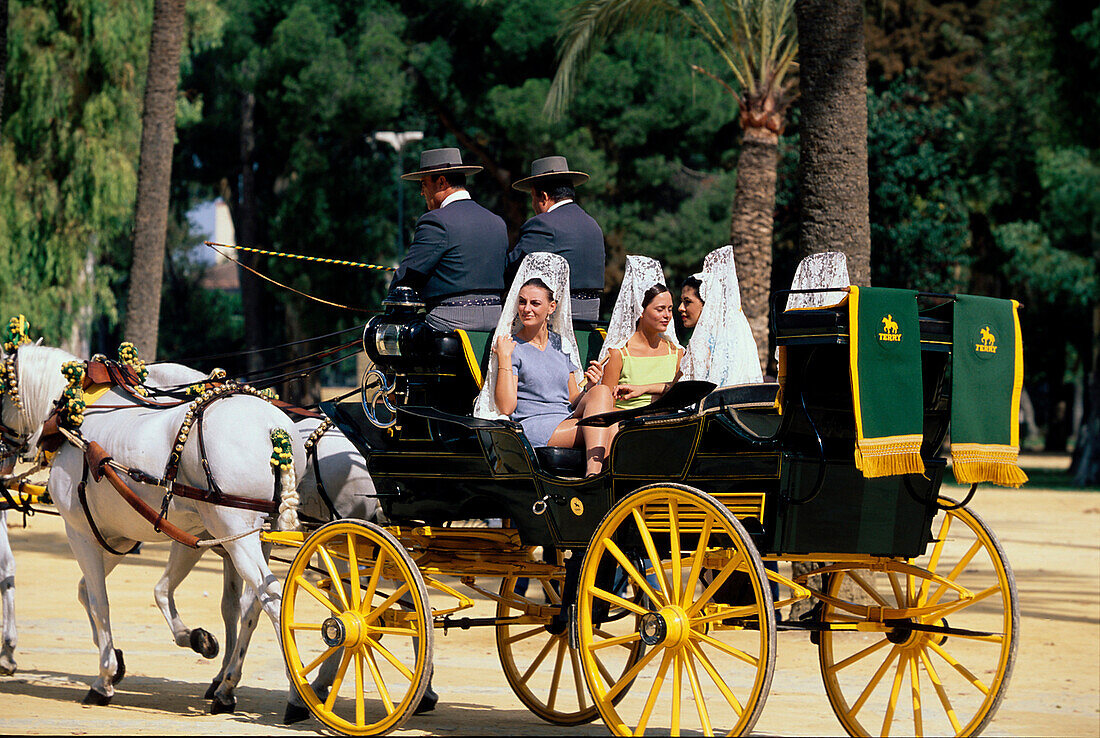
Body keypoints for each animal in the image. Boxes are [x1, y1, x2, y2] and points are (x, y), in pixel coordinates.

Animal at [4, 347, 308, 703]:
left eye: (1, 389)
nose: (4, 453)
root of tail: (274, 428)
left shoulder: (81, 532)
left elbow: (99, 600)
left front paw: (104, 677)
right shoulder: (137, 537)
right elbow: (133, 591)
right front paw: (188, 639)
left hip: (236, 534)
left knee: (272, 596)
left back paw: (295, 689)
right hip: (254, 535)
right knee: (256, 602)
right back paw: (233, 684)